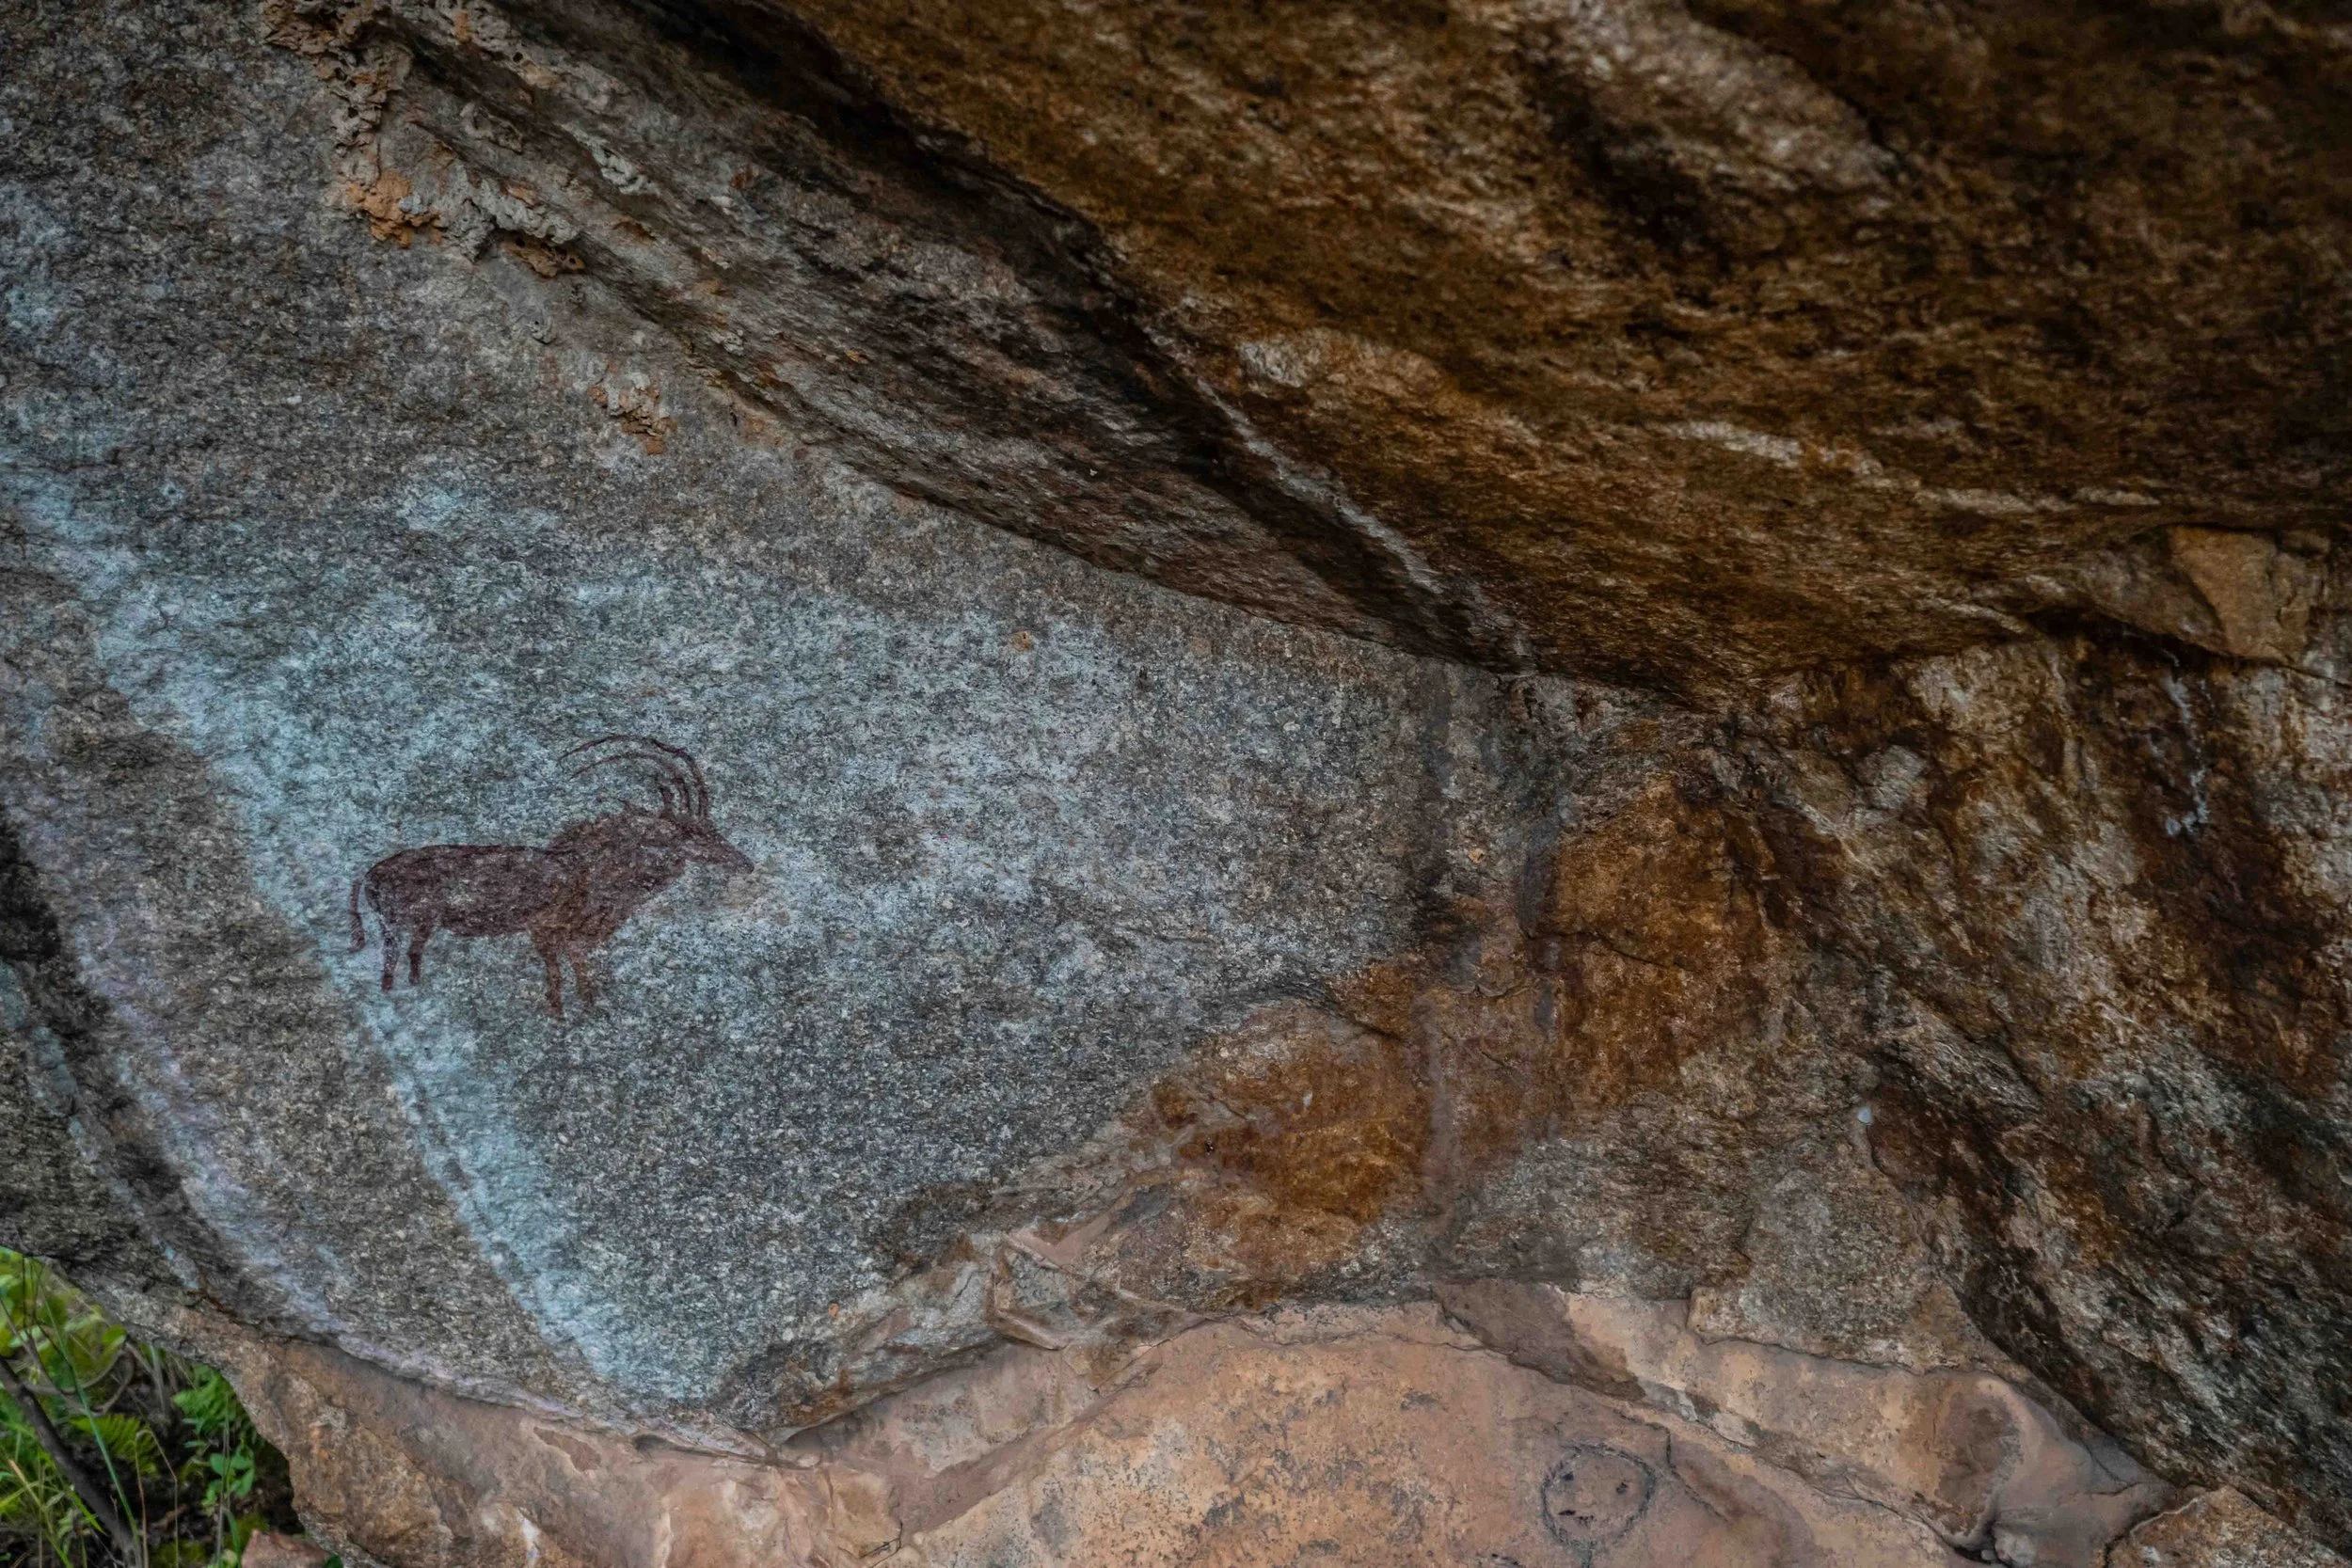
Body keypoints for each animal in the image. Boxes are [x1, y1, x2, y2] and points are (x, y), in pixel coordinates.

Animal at [349, 735, 753, 1018]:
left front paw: (584, 1009)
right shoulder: (547, 930)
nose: (746, 864)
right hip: (394, 924)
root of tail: (367, 875)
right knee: (390, 955)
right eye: (695, 834)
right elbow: (559, 972)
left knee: (413, 953)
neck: (597, 867)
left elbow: (574, 967)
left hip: (421, 925)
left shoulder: (575, 936)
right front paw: (566, 1014)